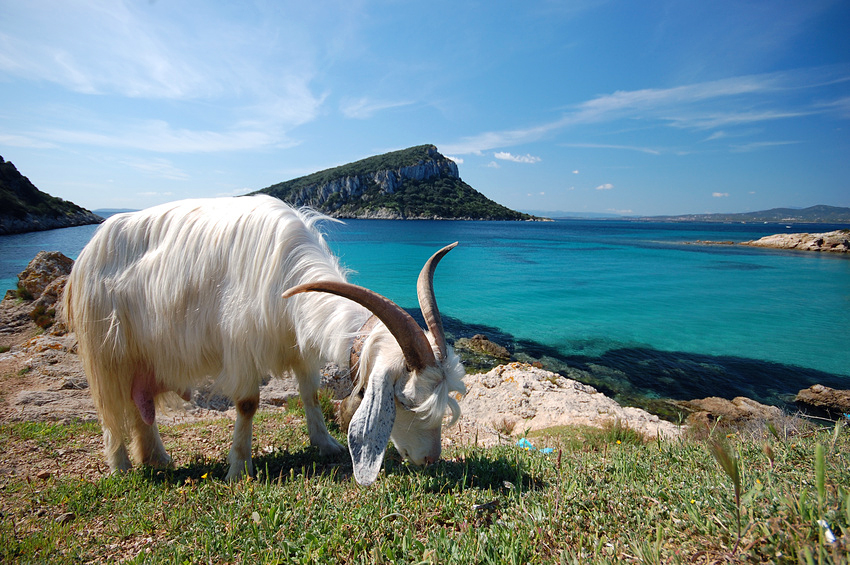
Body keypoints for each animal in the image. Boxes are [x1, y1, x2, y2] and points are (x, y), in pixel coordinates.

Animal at [63, 195, 466, 485]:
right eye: (404, 401)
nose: (431, 459)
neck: (287, 276)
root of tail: (92, 246)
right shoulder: (241, 345)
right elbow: (247, 404)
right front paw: (239, 468)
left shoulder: (297, 344)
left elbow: (310, 394)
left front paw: (326, 444)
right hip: (108, 349)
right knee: (110, 407)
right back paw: (120, 467)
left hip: (146, 356)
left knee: (138, 403)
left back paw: (157, 458)